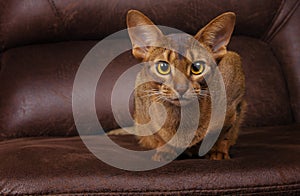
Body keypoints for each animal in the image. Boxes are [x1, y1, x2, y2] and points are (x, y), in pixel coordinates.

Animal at [109, 9, 245, 161]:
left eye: (197, 67)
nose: (181, 89)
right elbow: (159, 136)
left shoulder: (233, 94)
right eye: (163, 67)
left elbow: (224, 134)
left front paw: (218, 151)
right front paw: (165, 150)